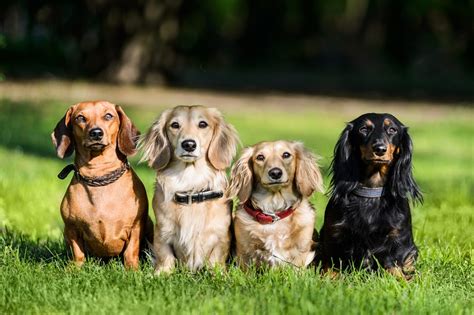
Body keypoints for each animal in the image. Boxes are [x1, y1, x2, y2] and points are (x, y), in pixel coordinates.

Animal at [51, 101, 152, 270]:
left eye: (108, 116)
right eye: (80, 118)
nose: (96, 133)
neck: (98, 176)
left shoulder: (135, 227)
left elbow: (130, 252)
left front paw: (132, 269)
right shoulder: (71, 228)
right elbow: (78, 253)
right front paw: (74, 269)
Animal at [139, 106, 239, 274]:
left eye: (203, 124)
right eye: (174, 125)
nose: (189, 144)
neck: (191, 185)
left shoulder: (220, 235)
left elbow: (215, 260)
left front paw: (218, 275)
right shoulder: (162, 233)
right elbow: (165, 256)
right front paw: (160, 273)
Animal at [228, 141, 324, 270]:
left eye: (286, 154)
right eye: (260, 157)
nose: (275, 173)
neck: (274, 210)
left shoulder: (301, 252)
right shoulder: (244, 253)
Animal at [318, 114, 422, 282]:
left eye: (392, 129)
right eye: (363, 129)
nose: (379, 149)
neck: (371, 192)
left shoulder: (396, 238)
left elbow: (394, 266)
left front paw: (404, 280)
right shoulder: (334, 234)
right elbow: (331, 265)